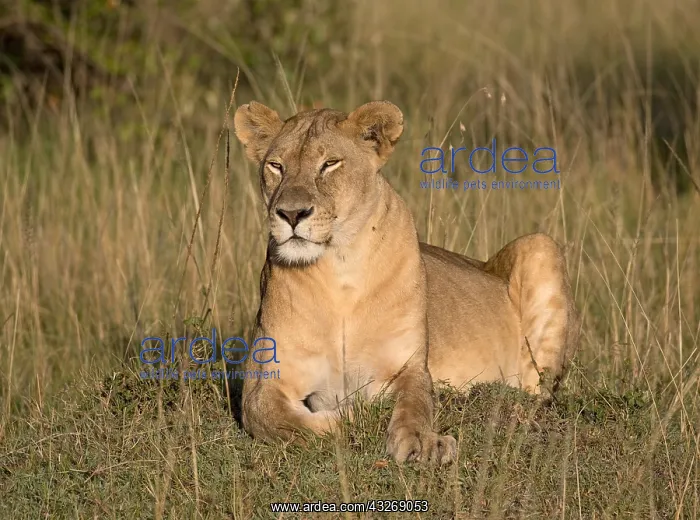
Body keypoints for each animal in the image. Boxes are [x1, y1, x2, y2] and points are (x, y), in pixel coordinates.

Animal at [233, 100, 580, 464]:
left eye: (329, 164)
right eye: (276, 166)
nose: (291, 214)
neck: (338, 268)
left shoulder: (409, 367)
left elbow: (415, 406)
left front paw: (423, 443)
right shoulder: (265, 381)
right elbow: (277, 418)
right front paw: (350, 418)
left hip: (541, 245)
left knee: (537, 394)